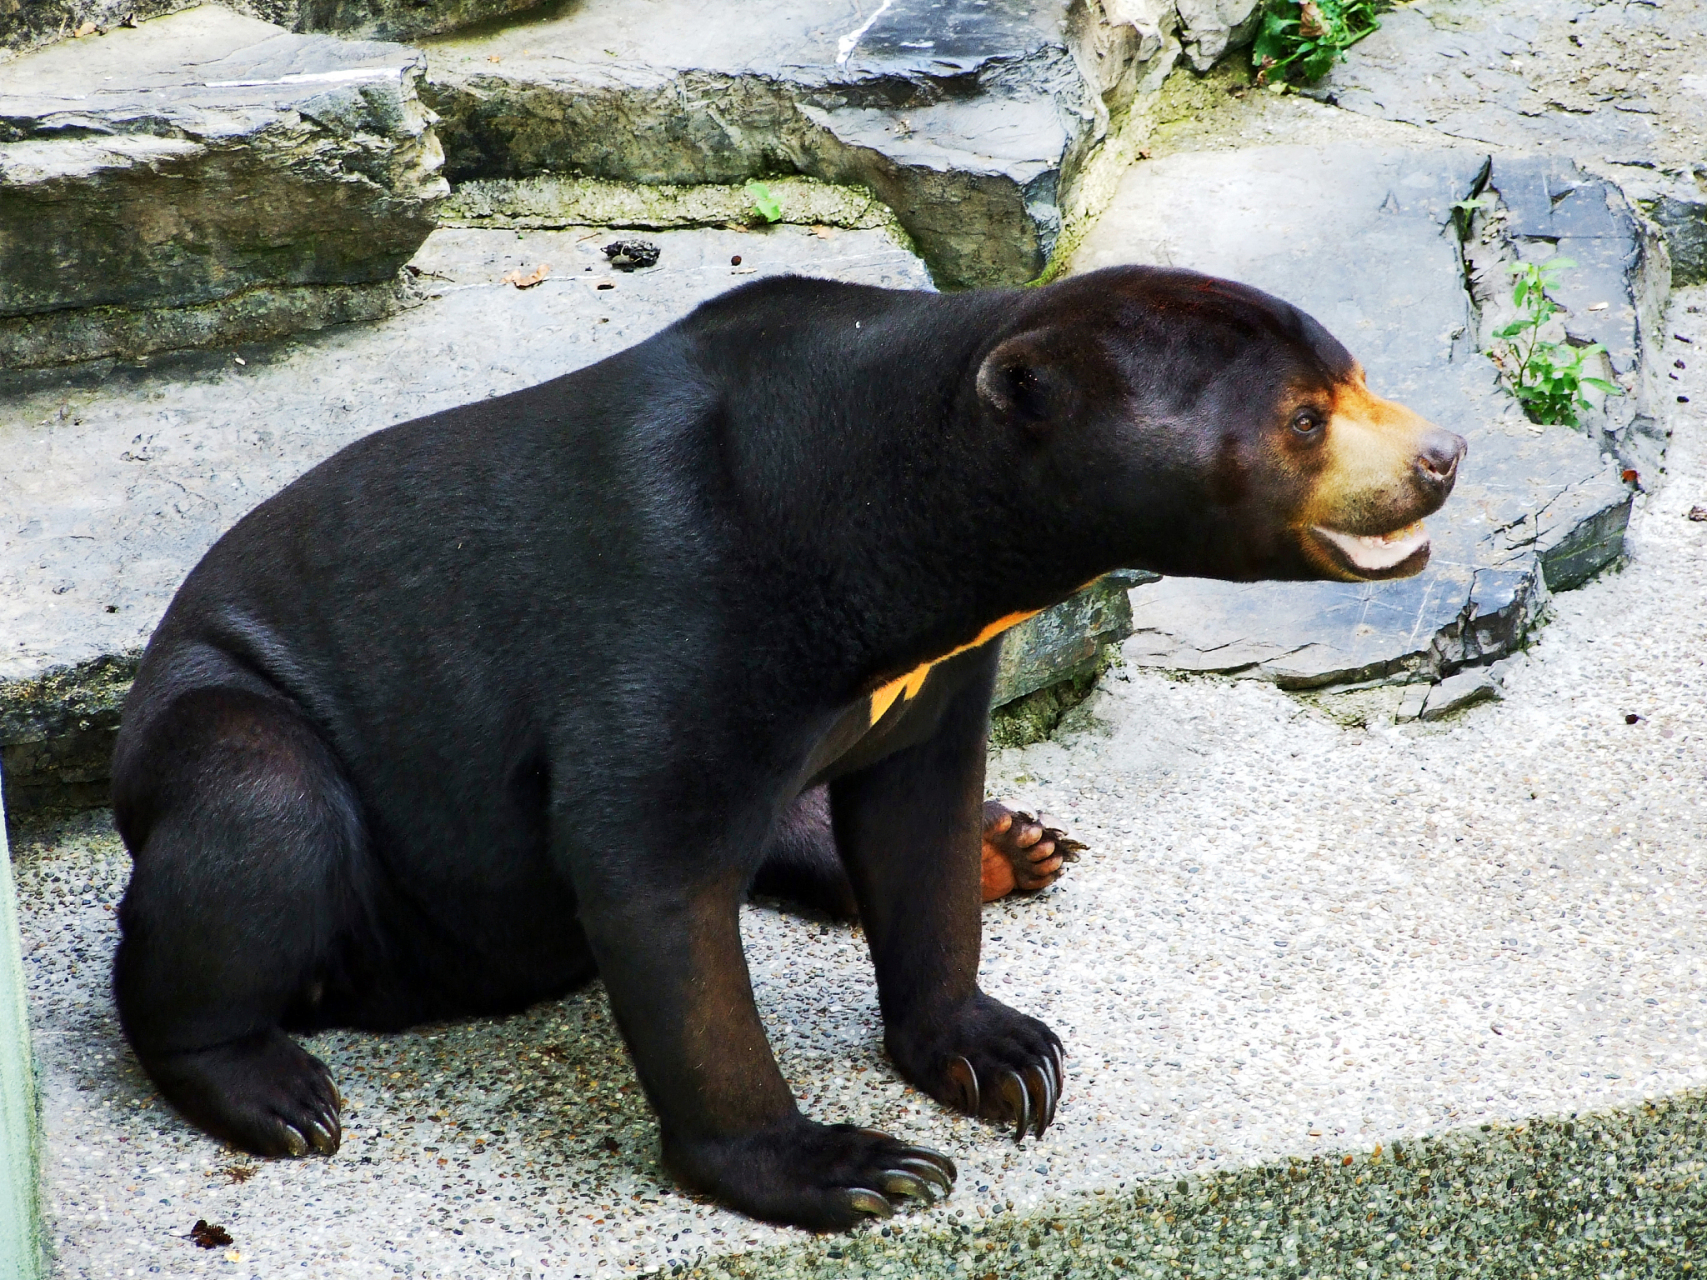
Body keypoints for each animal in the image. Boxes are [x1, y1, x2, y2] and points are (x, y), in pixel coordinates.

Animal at [109, 265, 1464, 1230]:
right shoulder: (676, 603)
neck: (893, 540)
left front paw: (999, 1051)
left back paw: (1015, 847)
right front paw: (851, 1166)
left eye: (1354, 373)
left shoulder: (930, 666)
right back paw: (272, 1088)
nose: (1443, 457)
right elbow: (648, 868)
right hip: (239, 726)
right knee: (258, 821)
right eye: (1304, 419)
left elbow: (918, 819)